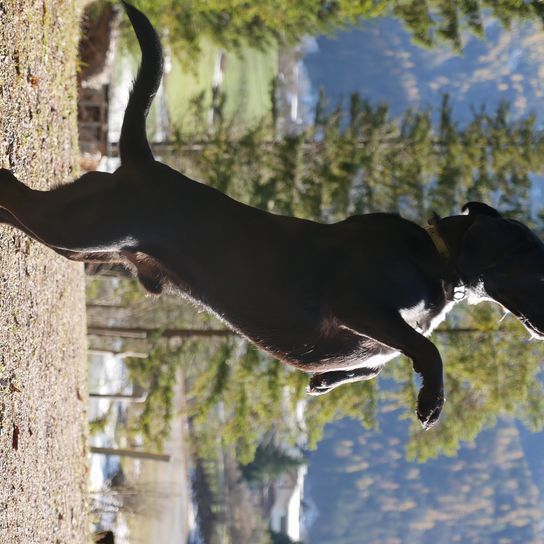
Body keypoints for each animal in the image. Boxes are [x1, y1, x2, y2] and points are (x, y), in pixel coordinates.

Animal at [1, 3, 544, 430]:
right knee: (10, 187)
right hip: (81, 226)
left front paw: (326, 382)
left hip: (83, 241)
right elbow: (429, 350)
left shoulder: (378, 341)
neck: (438, 260)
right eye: (535, 260)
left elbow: (372, 365)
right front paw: (432, 399)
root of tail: (145, 162)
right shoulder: (358, 306)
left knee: (20, 209)